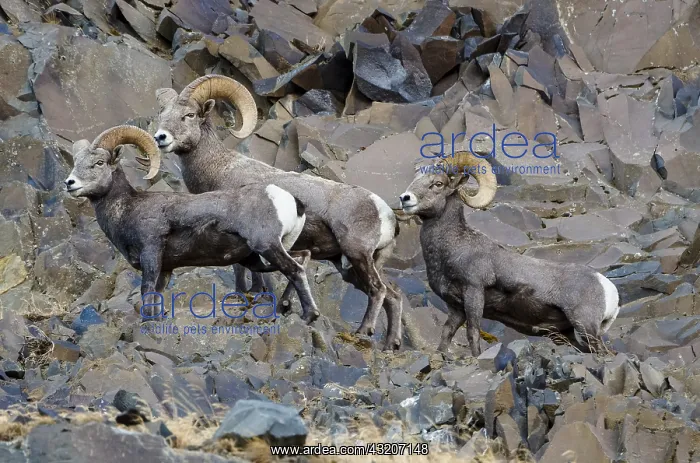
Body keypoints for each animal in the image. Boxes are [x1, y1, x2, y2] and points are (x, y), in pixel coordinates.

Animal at [63, 125, 320, 322]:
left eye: (99, 163)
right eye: (76, 162)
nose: (69, 183)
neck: (127, 209)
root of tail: (290, 200)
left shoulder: (151, 253)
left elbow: (147, 290)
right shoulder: (166, 268)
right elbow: (158, 295)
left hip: (266, 246)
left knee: (295, 270)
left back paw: (310, 315)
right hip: (263, 256)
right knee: (301, 259)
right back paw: (285, 305)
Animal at [148, 75, 405, 350]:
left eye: (190, 115)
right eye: (163, 114)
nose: (161, 137)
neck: (220, 169)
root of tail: (385, 213)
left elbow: (242, 269)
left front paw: (248, 295)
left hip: (357, 254)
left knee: (378, 290)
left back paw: (363, 331)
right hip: (357, 264)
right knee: (393, 296)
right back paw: (391, 344)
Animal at [397, 151, 620, 356]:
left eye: (438, 183)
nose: (404, 198)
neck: (452, 248)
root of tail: (608, 289)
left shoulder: (474, 292)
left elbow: (473, 332)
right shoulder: (456, 308)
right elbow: (446, 334)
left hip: (585, 326)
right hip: (570, 334)